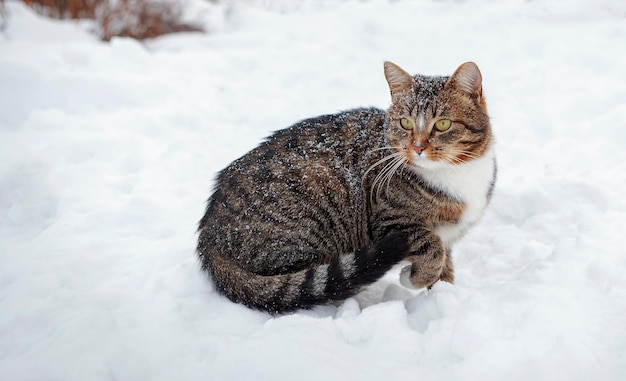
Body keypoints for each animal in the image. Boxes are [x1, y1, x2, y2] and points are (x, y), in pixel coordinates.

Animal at [195, 61, 492, 312]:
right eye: (405, 123)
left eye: (443, 124)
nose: (417, 147)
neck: (455, 173)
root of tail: (209, 235)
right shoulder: (392, 220)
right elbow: (432, 249)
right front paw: (413, 278)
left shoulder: (450, 234)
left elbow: (444, 264)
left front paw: (443, 300)